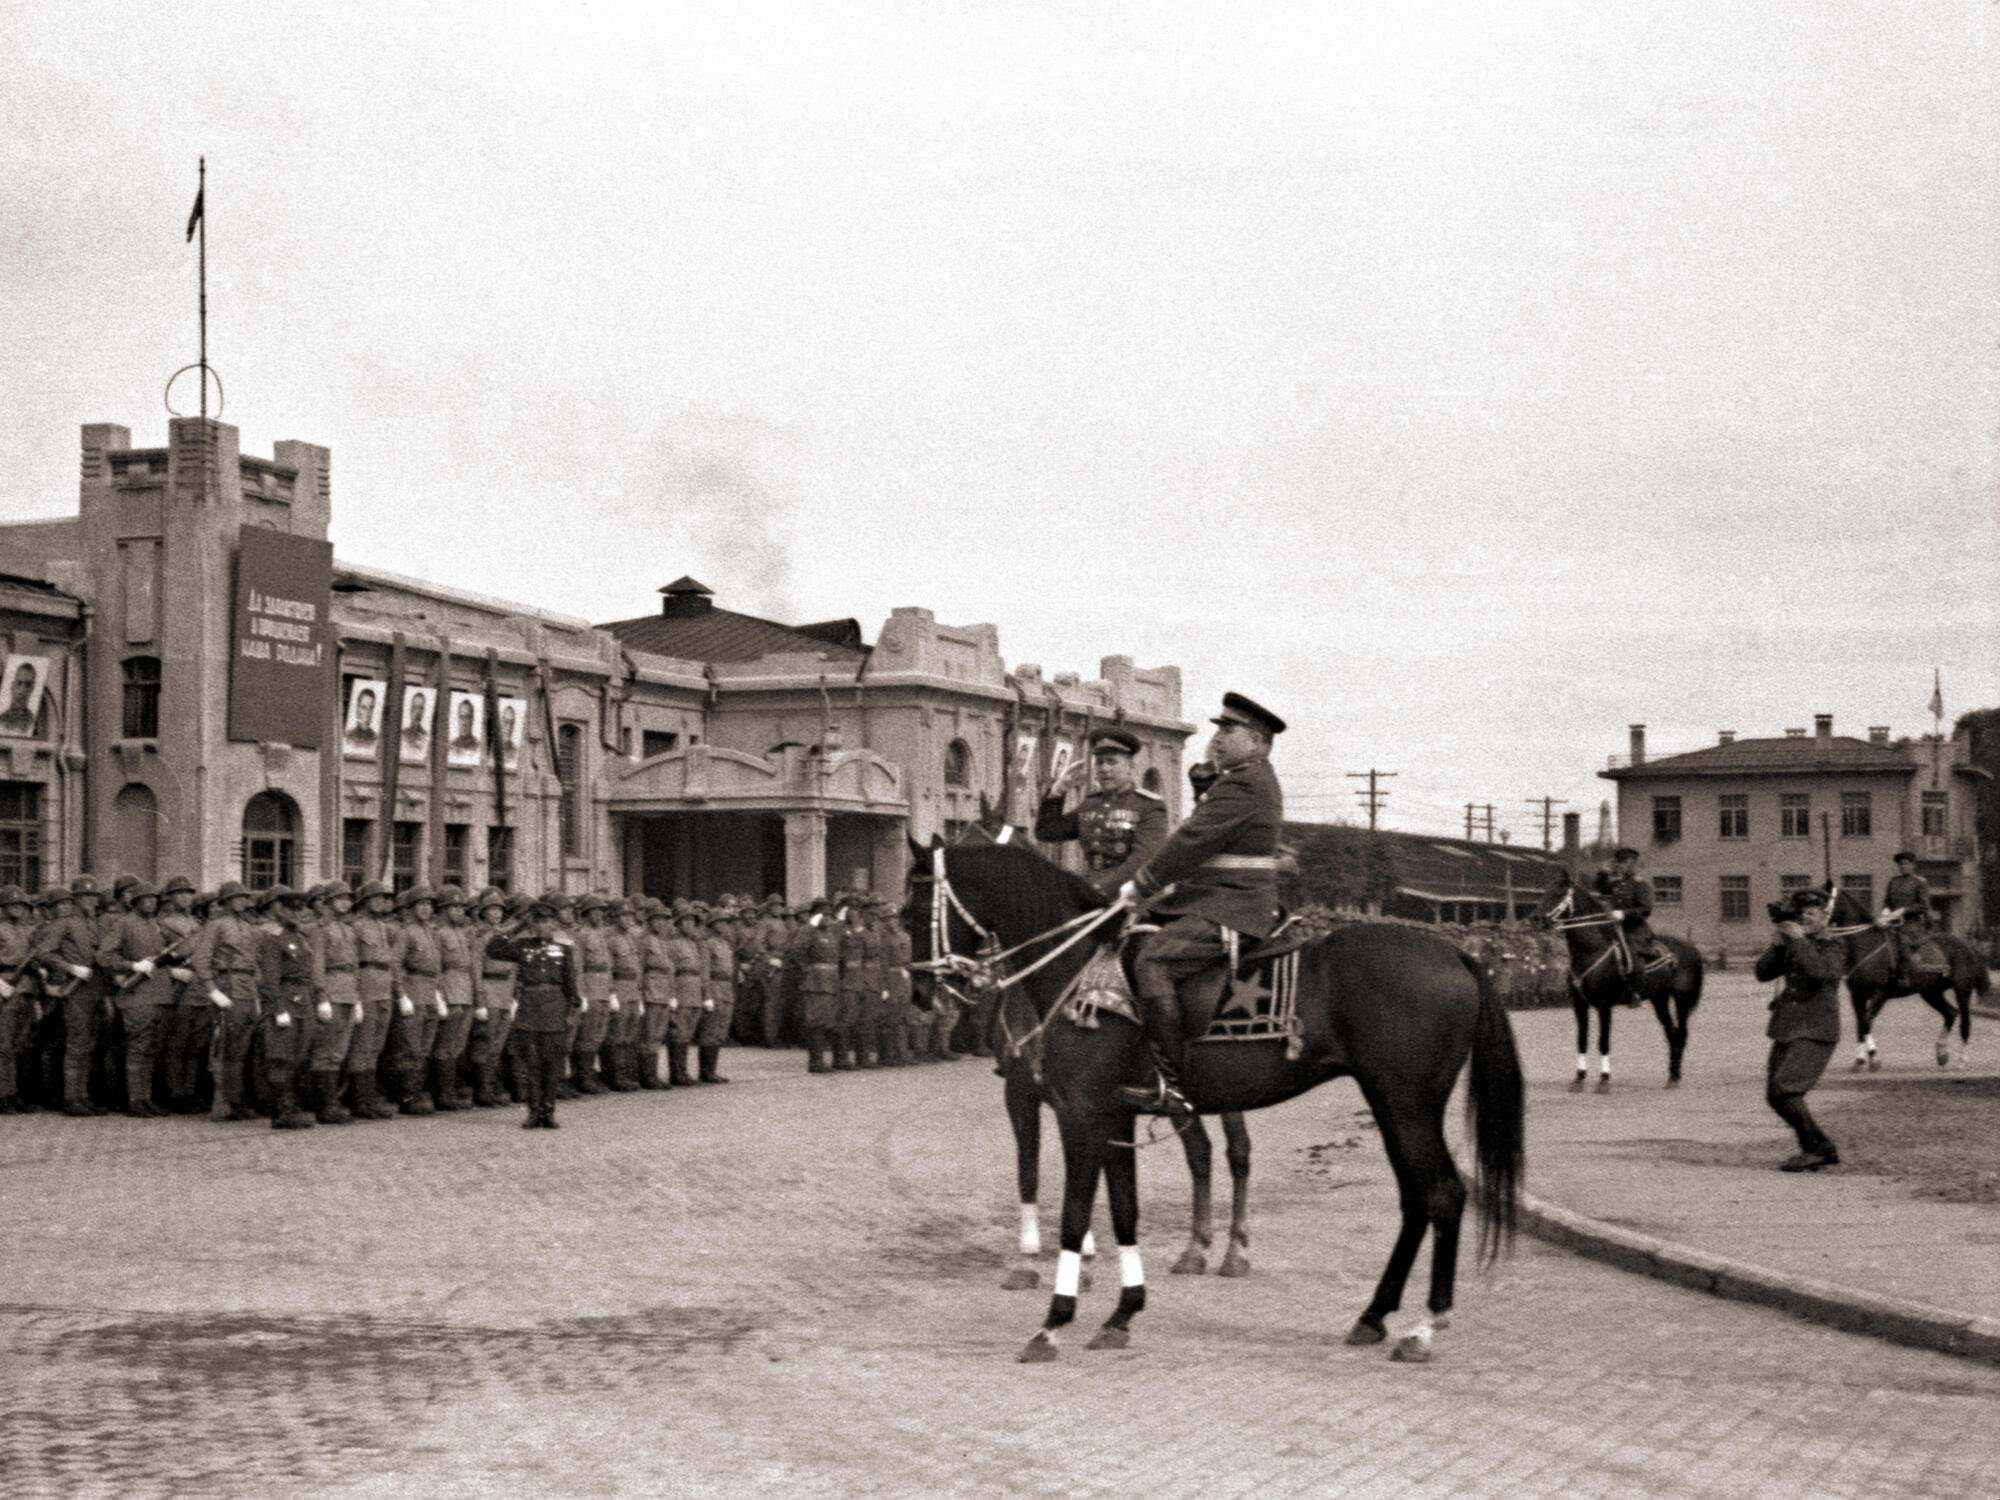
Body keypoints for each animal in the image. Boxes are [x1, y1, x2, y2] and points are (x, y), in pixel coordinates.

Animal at [916, 840, 1520, 1368]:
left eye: (914, 898)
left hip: (1407, 1103)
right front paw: (1122, 1314)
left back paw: (1424, 1327)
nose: (921, 991)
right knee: (1416, 1198)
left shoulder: (1081, 1115)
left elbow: (1074, 1215)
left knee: (1441, 1194)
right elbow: (1125, 1211)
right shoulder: (1113, 1117)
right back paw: (1373, 1316)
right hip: (1392, 1102)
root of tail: (1455, 952)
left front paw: (1053, 1324)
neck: (1080, 966)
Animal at [1528, 868, 1704, 1096]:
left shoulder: (1604, 1006)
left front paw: (1603, 1080)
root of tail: (1691, 949)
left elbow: (1603, 1042)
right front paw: (1578, 1078)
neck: (1592, 952)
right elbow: (1582, 1040)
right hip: (1659, 999)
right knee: (1671, 1033)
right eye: (1545, 891)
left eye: (1558, 894)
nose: (1534, 919)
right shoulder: (1579, 1005)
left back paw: (1675, 1077)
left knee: (1681, 1033)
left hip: (1682, 1000)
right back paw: (1671, 1076)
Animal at [1832, 888, 1984, 1072]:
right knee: (1950, 1013)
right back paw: (1941, 1053)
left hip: (1962, 989)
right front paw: (1863, 1059)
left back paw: (1962, 1060)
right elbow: (1861, 1024)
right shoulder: (1857, 995)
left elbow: (1866, 1022)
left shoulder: (1879, 993)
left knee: (1965, 1021)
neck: (1866, 946)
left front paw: (1871, 1059)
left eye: (1821, 898)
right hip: (1931, 992)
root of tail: (1966, 945)